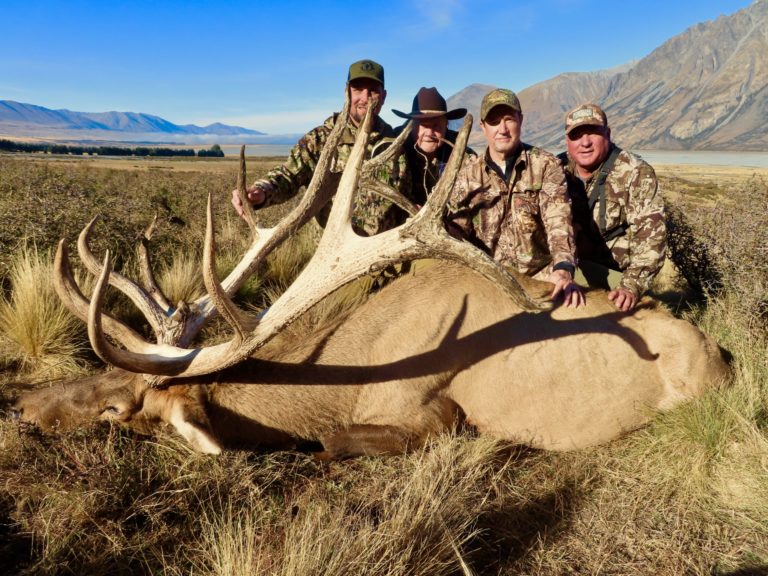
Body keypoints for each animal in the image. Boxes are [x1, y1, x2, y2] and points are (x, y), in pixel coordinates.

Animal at [10, 96, 731, 458]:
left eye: (117, 408)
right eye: (97, 377)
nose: (20, 407)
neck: (345, 376)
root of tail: (721, 350)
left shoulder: (432, 413)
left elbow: (330, 444)